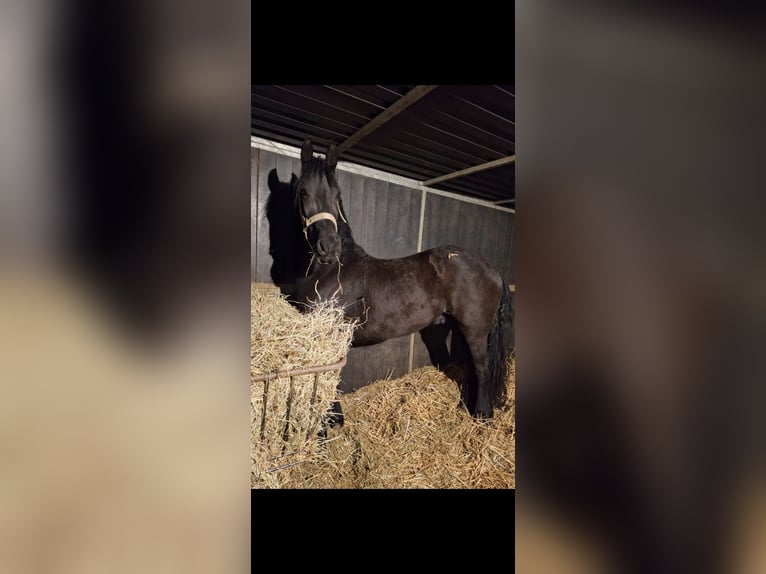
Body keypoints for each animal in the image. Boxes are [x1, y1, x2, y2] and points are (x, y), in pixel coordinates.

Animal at [288, 138, 514, 420]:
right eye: (304, 192)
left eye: (337, 196)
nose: (328, 248)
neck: (330, 271)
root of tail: (491, 267)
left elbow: (332, 375)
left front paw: (332, 418)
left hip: (475, 328)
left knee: (482, 368)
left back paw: (481, 414)